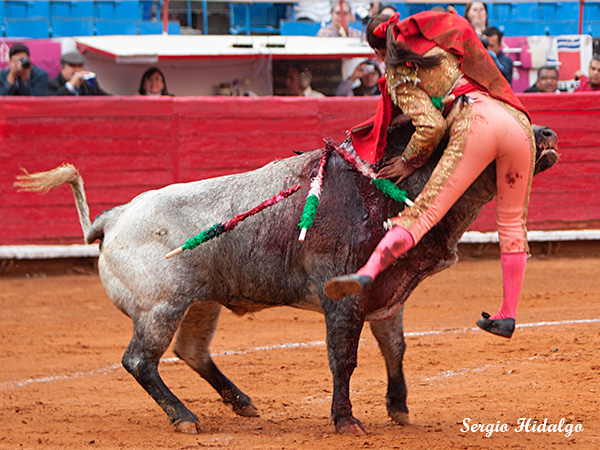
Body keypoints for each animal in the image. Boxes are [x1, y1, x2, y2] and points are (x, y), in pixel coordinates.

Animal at [14, 120, 556, 436]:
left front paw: (398, 409)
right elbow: (344, 358)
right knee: (139, 361)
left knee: (190, 352)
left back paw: (241, 403)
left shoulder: (388, 296)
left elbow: (395, 350)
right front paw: (346, 421)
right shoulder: (342, 297)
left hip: (200, 302)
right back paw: (185, 418)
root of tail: (113, 218)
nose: (548, 135)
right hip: (159, 307)